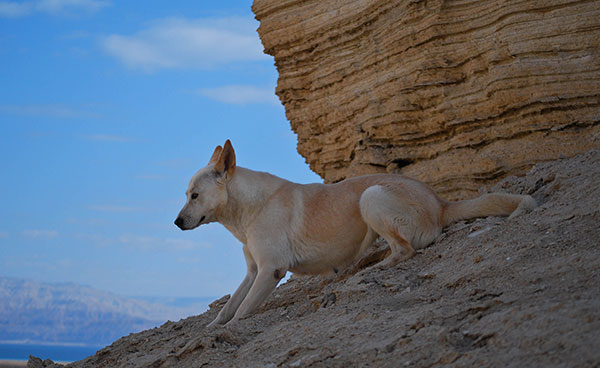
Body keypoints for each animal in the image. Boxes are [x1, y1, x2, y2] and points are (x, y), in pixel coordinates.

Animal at [173, 140, 536, 324]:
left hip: (371, 197)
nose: (176, 223)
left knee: (405, 250)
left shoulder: (270, 271)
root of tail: (441, 203)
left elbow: (242, 312)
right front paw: (212, 329)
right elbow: (228, 308)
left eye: (195, 196)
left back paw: (368, 270)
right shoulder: (252, 271)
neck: (248, 209)